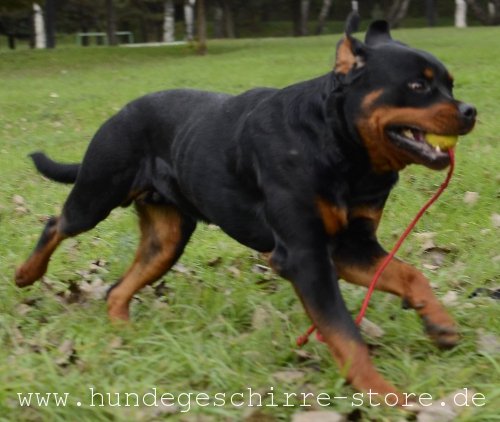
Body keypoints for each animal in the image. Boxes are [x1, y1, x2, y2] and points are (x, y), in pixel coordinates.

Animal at [15, 17, 476, 398]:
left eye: (451, 85)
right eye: (418, 86)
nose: (471, 110)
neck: (341, 148)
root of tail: (120, 111)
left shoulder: (349, 247)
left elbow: (410, 274)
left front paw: (439, 323)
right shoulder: (304, 254)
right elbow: (345, 332)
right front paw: (383, 393)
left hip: (166, 239)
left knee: (116, 288)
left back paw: (125, 334)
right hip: (96, 195)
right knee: (56, 223)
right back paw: (26, 274)